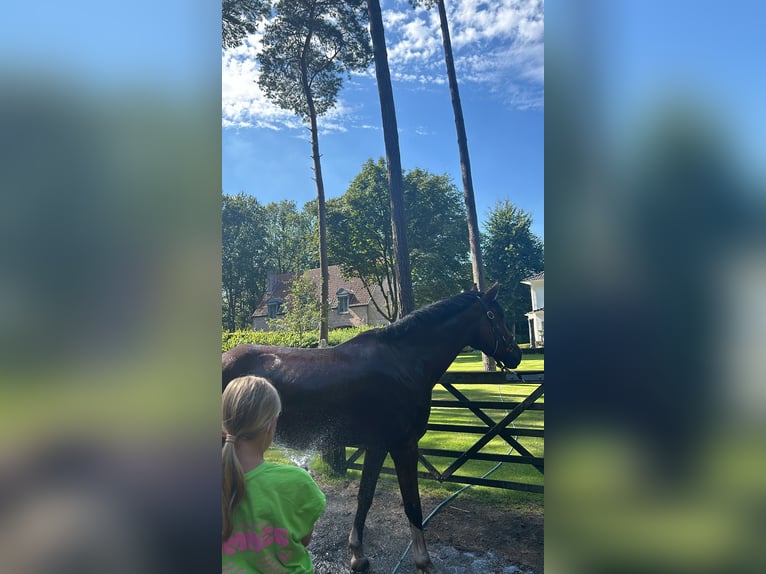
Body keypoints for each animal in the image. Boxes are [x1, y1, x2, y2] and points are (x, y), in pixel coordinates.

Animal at [222, 284, 520, 574]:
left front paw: (357, 555)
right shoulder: (403, 446)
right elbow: (412, 505)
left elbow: (365, 497)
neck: (403, 362)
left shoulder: (377, 446)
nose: (516, 354)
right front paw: (424, 562)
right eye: (496, 315)